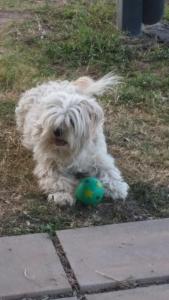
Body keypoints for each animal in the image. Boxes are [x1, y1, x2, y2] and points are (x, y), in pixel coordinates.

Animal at [16, 73, 129, 206]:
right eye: (52, 120)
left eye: (71, 121)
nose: (57, 131)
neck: (72, 150)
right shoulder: (51, 162)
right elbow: (57, 180)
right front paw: (62, 194)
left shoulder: (98, 157)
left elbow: (109, 171)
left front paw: (117, 187)